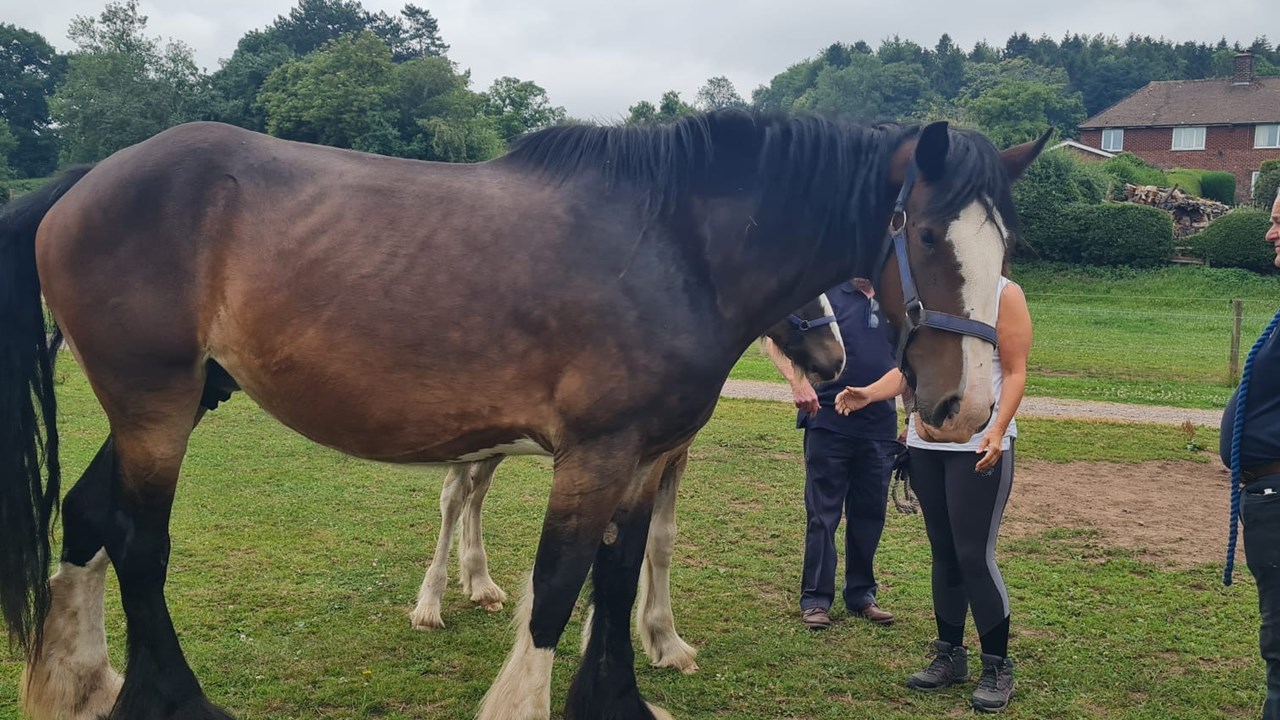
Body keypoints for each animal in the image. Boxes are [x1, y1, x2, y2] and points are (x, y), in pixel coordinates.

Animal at [408, 295, 844, 677]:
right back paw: (430, 604)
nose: (835, 357)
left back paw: (481, 586)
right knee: (454, 497)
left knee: (476, 494)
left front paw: (664, 642)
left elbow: (660, 540)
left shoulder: (670, 458)